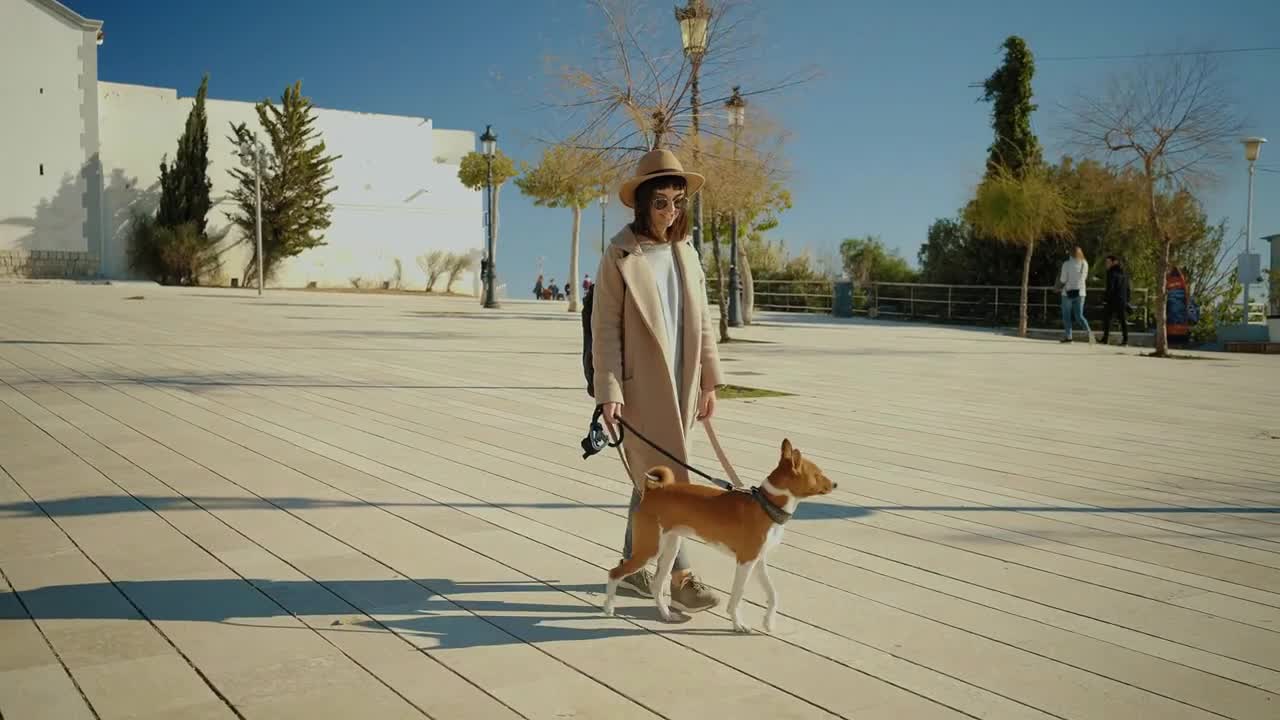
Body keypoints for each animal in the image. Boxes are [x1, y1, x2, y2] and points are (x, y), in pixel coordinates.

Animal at [601, 438, 834, 627]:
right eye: (818, 474)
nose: (835, 483)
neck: (767, 505)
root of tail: (653, 491)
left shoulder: (758, 561)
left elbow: (773, 594)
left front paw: (768, 622)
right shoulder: (746, 561)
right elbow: (738, 596)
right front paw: (738, 624)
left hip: (670, 549)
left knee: (657, 585)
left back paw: (666, 615)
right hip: (650, 549)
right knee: (614, 573)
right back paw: (609, 607)